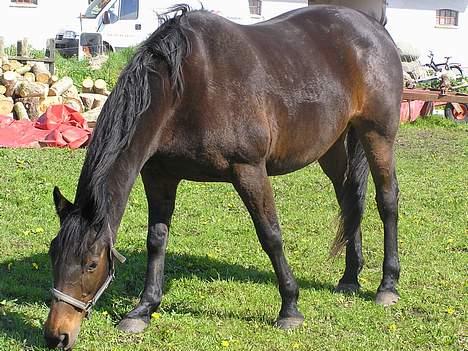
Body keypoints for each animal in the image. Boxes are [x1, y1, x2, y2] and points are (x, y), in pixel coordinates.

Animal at [43, 4, 402, 350]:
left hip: (377, 134)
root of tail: (374, 29)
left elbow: (270, 236)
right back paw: (350, 278)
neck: (183, 91)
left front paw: (290, 307)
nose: (57, 336)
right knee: (350, 200)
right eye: (53, 253)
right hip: (333, 147)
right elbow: (156, 240)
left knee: (386, 200)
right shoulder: (159, 176)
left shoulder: (249, 170)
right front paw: (143, 309)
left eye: (91, 263)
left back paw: (387, 286)